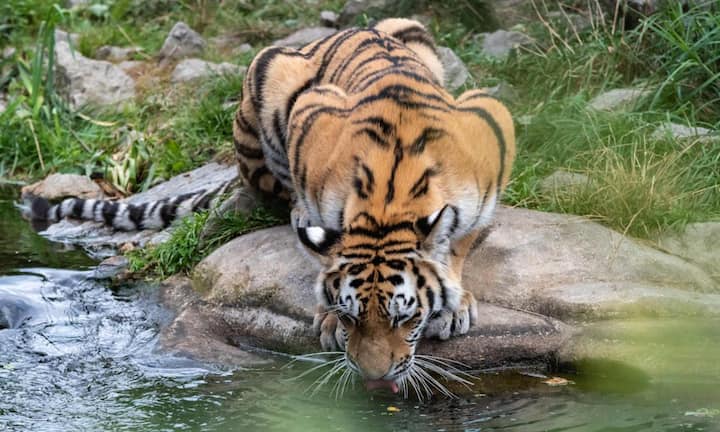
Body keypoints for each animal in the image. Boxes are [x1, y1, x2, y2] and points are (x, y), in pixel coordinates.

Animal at [27, 18, 515, 394]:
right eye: (352, 316)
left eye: (405, 318)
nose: (374, 376)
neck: (388, 204)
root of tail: (354, 29)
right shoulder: (312, 115)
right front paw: (327, 319)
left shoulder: (491, 129)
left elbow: (460, 242)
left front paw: (454, 303)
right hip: (270, 71)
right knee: (274, 191)